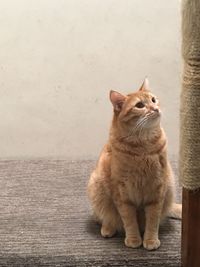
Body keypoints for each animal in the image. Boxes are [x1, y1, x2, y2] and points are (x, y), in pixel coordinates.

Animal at [87, 79, 181, 251]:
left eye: (153, 100)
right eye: (139, 105)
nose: (156, 108)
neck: (143, 147)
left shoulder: (157, 189)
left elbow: (153, 220)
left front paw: (150, 240)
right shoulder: (122, 194)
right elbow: (129, 221)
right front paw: (133, 240)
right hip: (96, 186)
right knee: (105, 217)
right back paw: (108, 229)